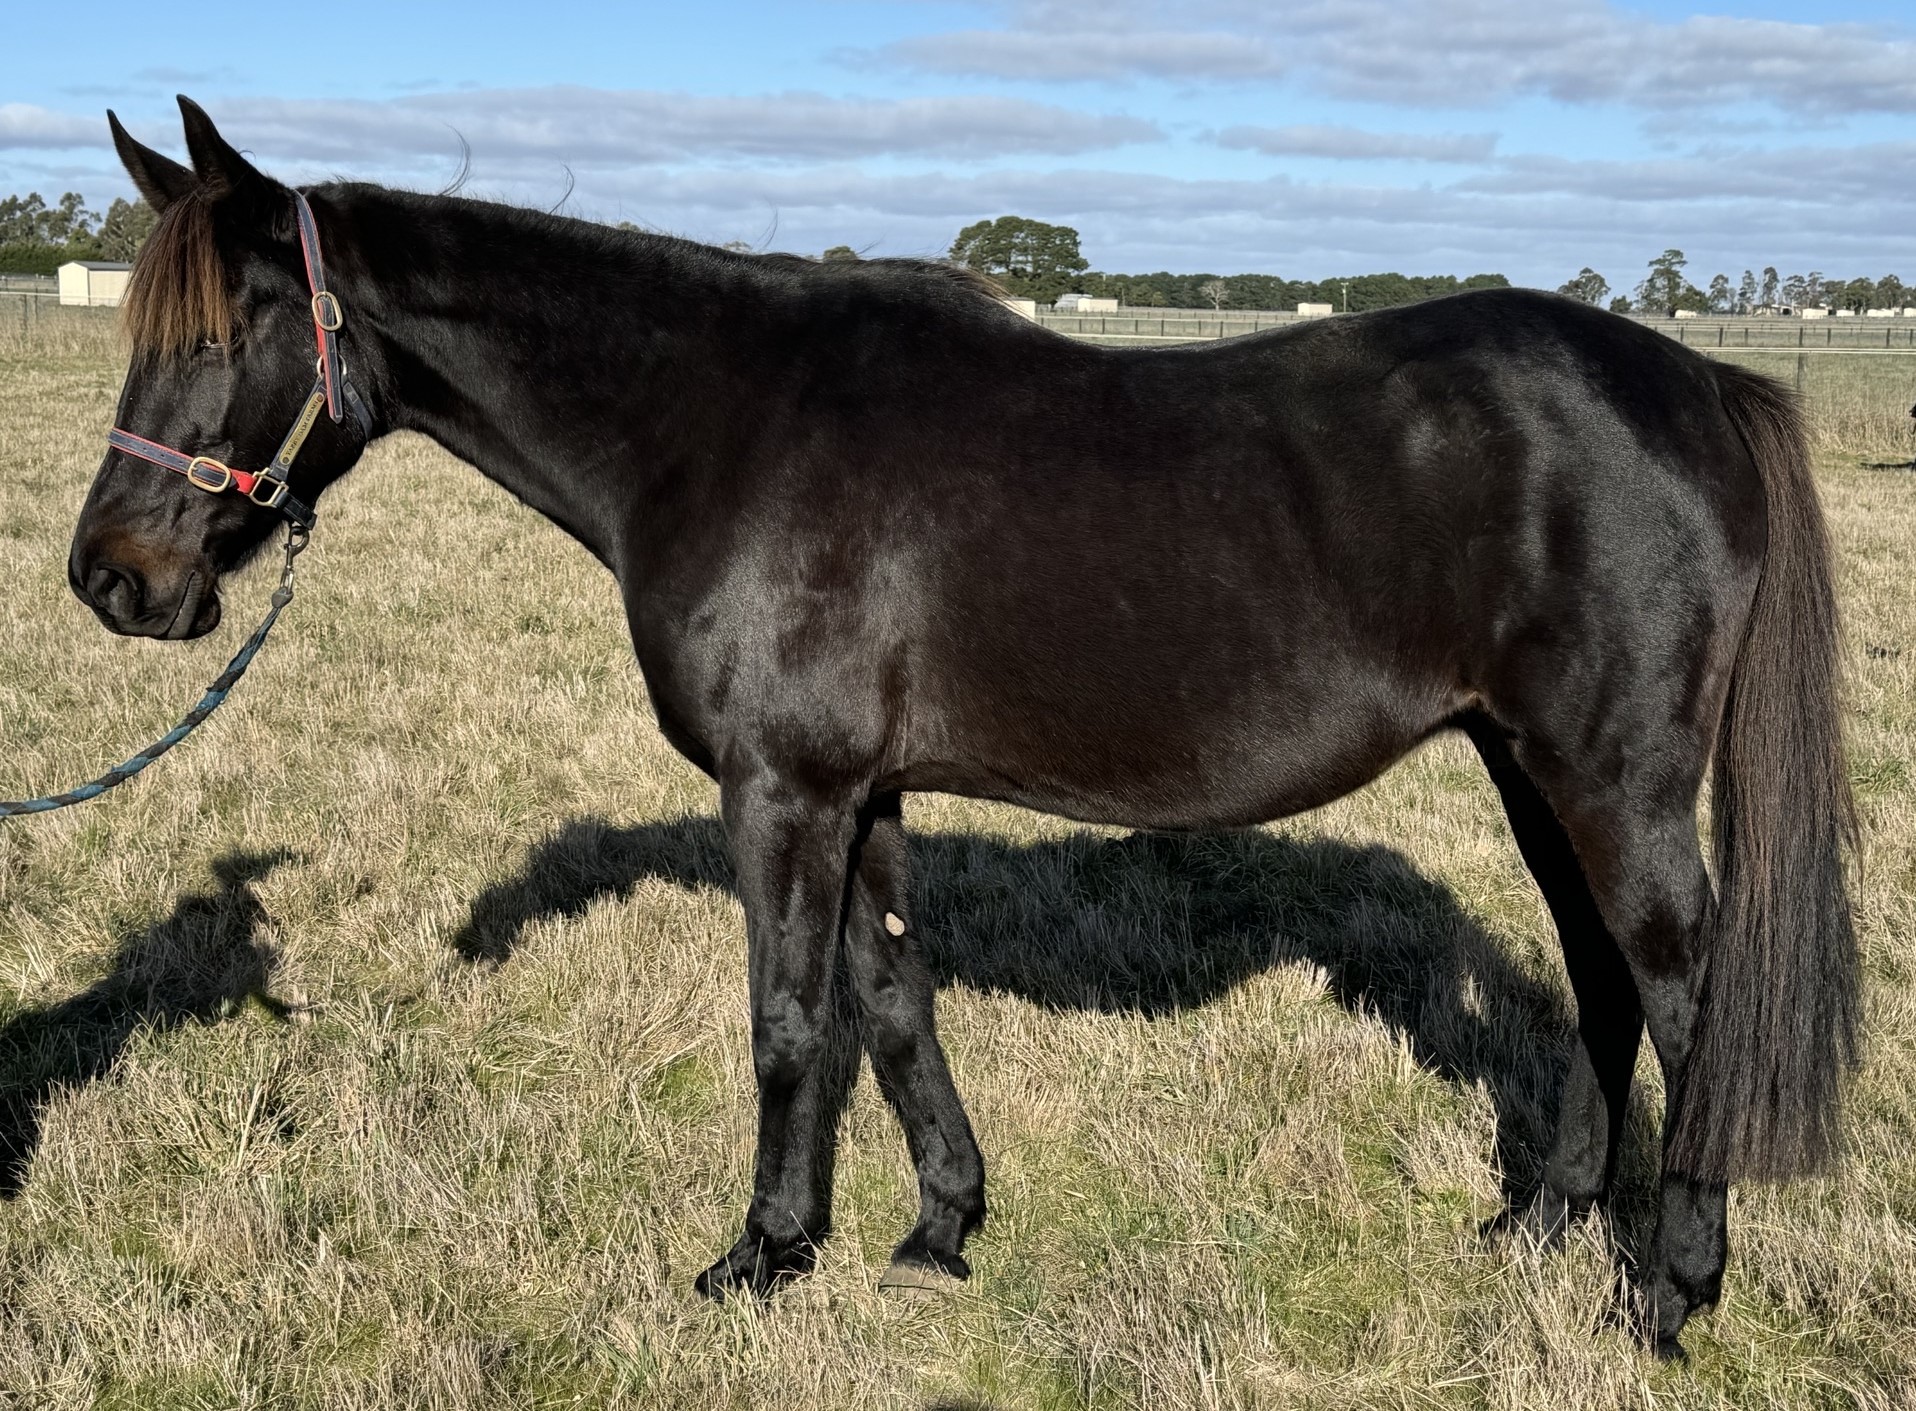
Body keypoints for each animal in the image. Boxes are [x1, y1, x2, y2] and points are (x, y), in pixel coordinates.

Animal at [70, 98, 1857, 1359]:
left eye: (220, 332)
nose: (113, 580)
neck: (714, 424)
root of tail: (1700, 383)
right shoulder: (861, 795)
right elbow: (892, 1000)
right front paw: (938, 1229)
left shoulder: (783, 792)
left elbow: (791, 1023)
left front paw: (758, 1257)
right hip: (1530, 766)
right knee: (1604, 981)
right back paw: (1545, 1228)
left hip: (1613, 779)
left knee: (1685, 993)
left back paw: (1669, 1297)